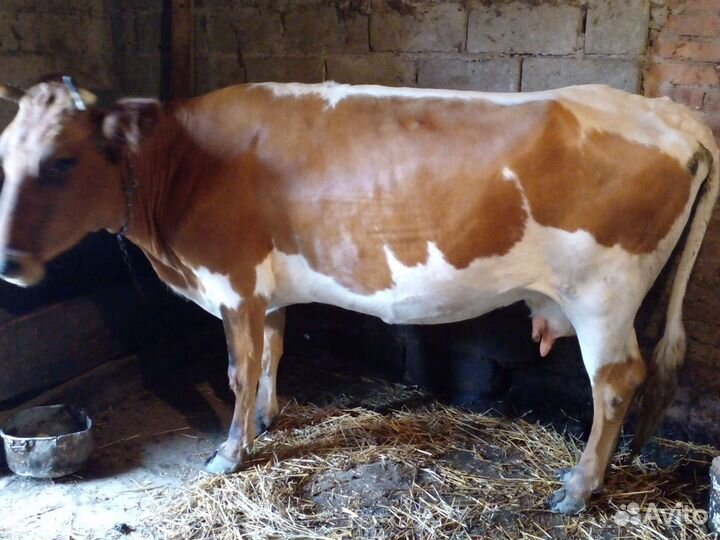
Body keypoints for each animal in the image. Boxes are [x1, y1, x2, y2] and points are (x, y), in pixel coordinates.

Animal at [0, 76, 716, 514]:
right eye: (5, 153)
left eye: (62, 160)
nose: (8, 262)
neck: (181, 165)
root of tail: (666, 109)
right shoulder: (268, 292)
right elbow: (274, 353)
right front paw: (267, 419)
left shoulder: (234, 284)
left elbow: (238, 370)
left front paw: (230, 452)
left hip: (603, 296)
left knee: (616, 381)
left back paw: (578, 486)